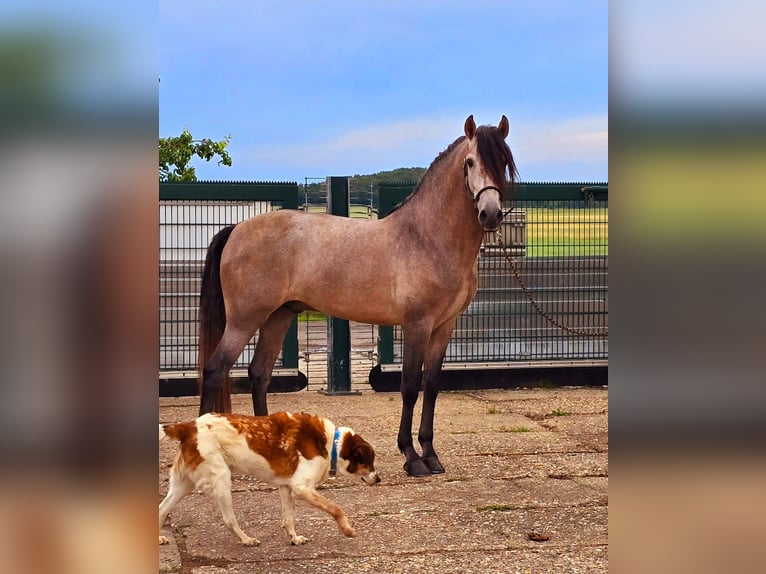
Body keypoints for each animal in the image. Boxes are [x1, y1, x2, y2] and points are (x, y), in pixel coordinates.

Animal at [158, 412, 380, 548]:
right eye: (369, 462)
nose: (378, 479)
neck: (332, 444)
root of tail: (188, 426)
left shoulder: (286, 487)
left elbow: (289, 518)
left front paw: (294, 538)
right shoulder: (301, 488)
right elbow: (336, 508)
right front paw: (347, 530)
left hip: (182, 485)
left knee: (161, 509)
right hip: (221, 479)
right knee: (229, 520)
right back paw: (246, 539)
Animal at [201, 116, 520, 476]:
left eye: (503, 163)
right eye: (470, 162)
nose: (490, 214)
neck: (426, 238)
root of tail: (237, 229)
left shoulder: (444, 326)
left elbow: (432, 385)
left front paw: (431, 454)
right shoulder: (416, 324)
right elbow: (410, 386)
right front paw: (411, 457)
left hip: (277, 316)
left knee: (259, 373)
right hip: (244, 319)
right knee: (215, 370)